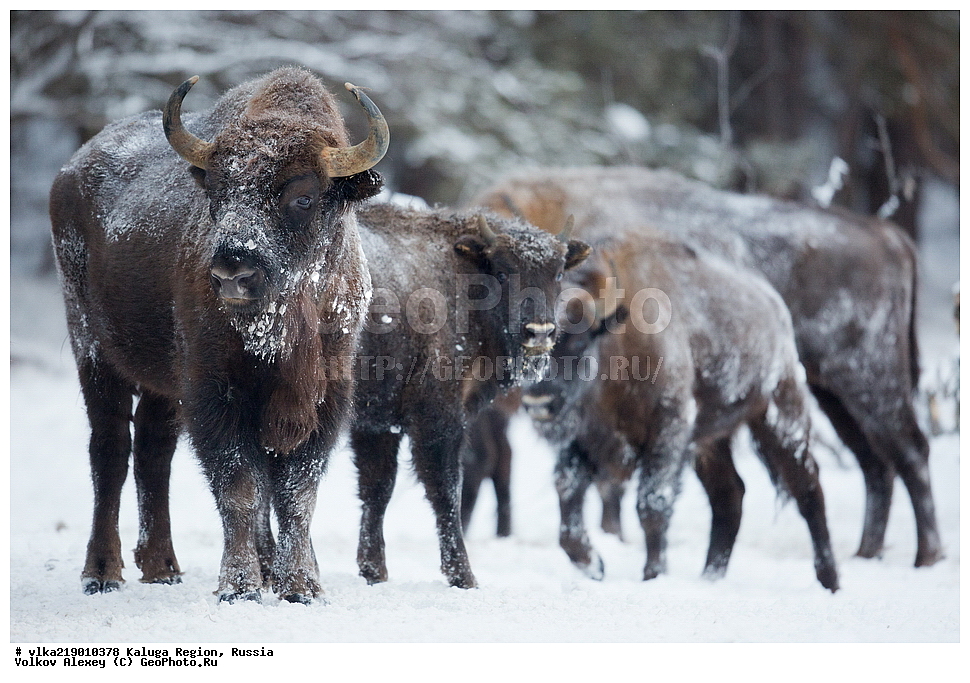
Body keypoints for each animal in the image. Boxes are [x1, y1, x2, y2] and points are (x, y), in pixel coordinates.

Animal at [50, 67, 388, 603]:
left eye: (304, 196)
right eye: (217, 195)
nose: (233, 270)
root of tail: (71, 169)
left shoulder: (324, 396)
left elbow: (295, 492)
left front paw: (299, 584)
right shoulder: (214, 391)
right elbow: (241, 488)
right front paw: (240, 586)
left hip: (160, 383)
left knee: (154, 452)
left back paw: (162, 566)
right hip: (94, 353)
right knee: (110, 451)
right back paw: (102, 572)